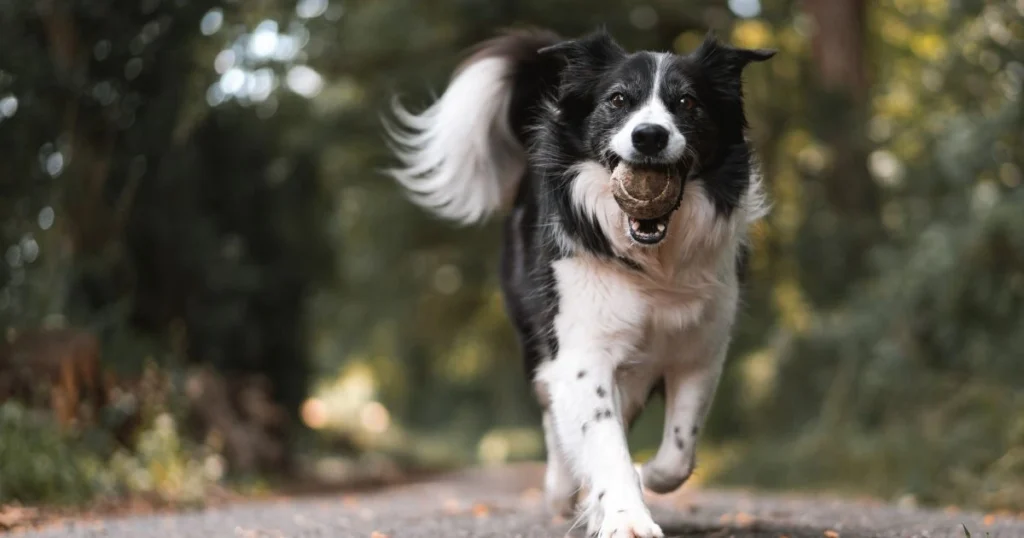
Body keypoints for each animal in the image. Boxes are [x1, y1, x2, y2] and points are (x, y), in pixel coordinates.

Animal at [385, 28, 774, 536]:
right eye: (618, 99)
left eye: (687, 102)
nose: (650, 135)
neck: (653, 261)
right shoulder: (582, 349)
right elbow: (602, 440)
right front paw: (626, 517)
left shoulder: (700, 349)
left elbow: (678, 453)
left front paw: (645, 477)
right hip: (537, 340)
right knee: (554, 414)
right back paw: (561, 491)